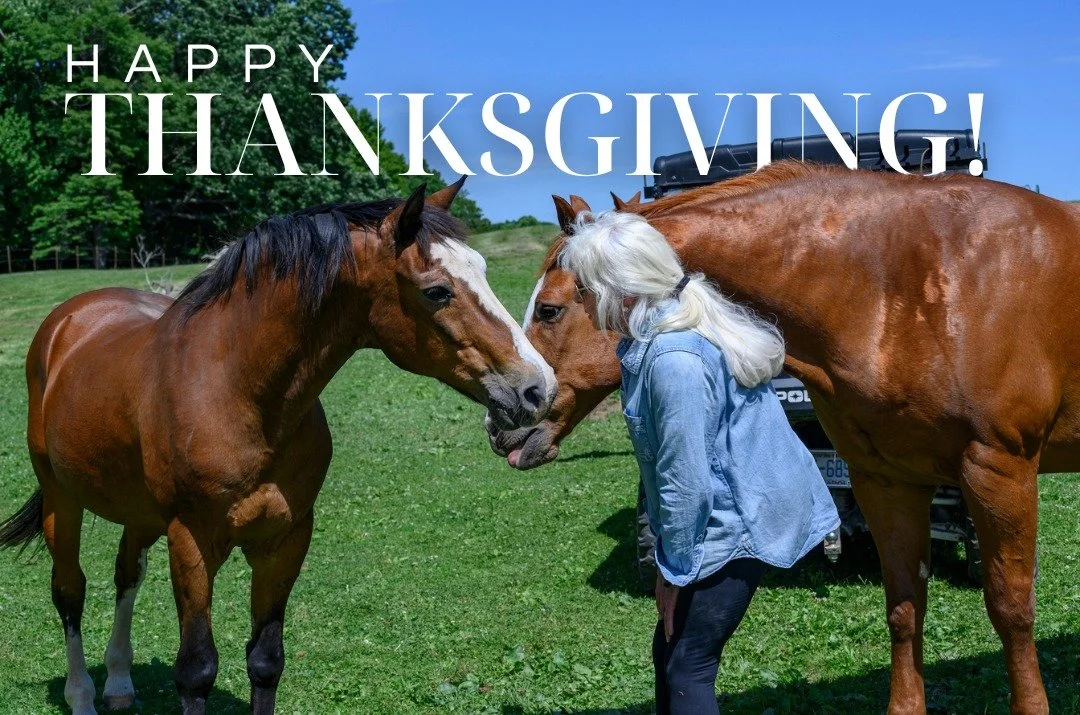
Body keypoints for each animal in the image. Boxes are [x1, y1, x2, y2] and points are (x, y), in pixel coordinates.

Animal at [0, 179, 555, 715]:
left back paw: (118, 682)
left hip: (140, 512)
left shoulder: (285, 539)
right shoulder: (192, 541)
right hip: (63, 501)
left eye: (482, 270)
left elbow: (266, 661)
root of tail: (68, 322)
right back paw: (82, 697)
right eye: (437, 290)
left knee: (126, 575)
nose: (538, 387)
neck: (238, 391)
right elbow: (196, 669)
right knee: (70, 591)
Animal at [486, 162, 1080, 714]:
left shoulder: (998, 473)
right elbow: (905, 605)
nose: (502, 417)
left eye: (549, 309)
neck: (907, 283)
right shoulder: (887, 480)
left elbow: (1011, 610)